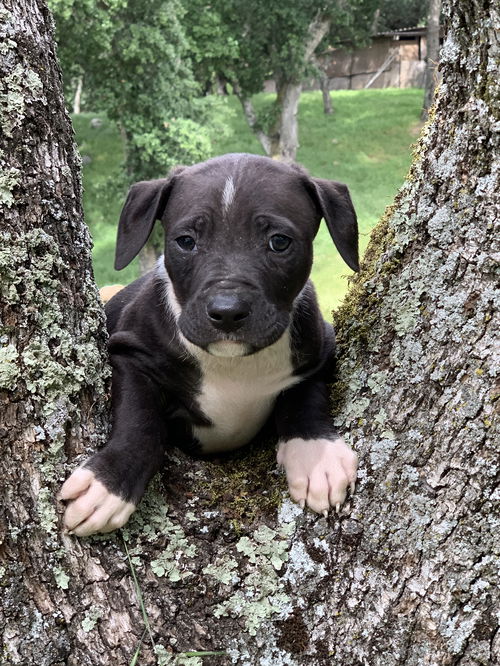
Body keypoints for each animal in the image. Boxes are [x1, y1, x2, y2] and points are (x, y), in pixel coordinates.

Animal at [60, 152, 360, 536]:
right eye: (186, 241)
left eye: (279, 242)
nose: (227, 312)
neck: (234, 365)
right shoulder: (131, 353)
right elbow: (139, 420)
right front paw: (108, 484)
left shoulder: (319, 349)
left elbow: (305, 393)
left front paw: (315, 454)